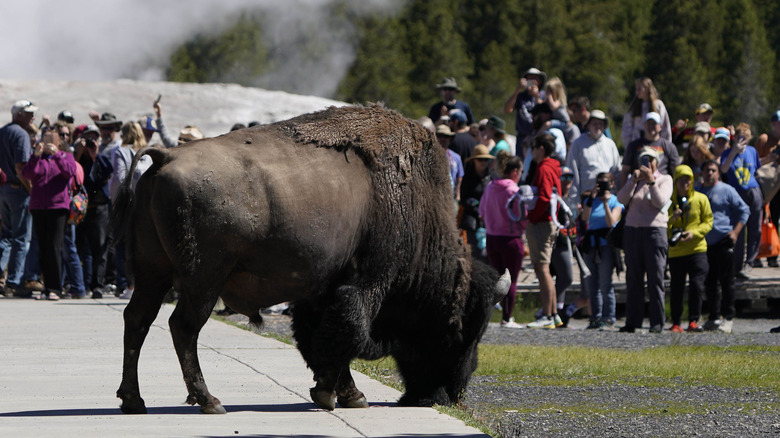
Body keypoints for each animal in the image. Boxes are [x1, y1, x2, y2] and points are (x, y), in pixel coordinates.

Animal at [112, 105, 508, 414]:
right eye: (463, 332)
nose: (450, 395)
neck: (410, 203)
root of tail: (167, 156)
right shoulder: (366, 284)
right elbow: (345, 335)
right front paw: (335, 395)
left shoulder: (321, 292)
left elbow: (319, 337)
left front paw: (342, 394)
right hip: (202, 281)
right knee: (183, 327)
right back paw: (209, 400)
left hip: (152, 274)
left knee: (138, 320)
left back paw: (134, 400)